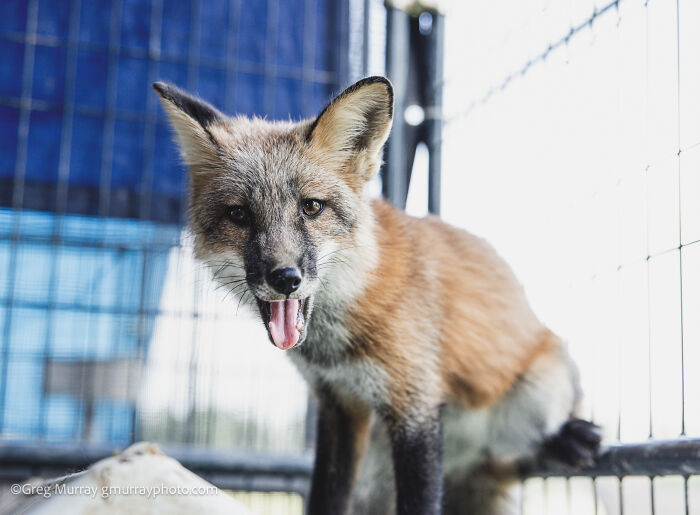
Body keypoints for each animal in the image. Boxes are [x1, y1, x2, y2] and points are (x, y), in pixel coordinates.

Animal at [153, 76, 601, 515]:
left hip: (537, 398)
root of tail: (464, 461)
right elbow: (326, 499)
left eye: (311, 207)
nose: (285, 278)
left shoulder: (415, 404)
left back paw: (570, 437)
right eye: (239, 215)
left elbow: (419, 503)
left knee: (522, 448)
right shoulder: (339, 406)